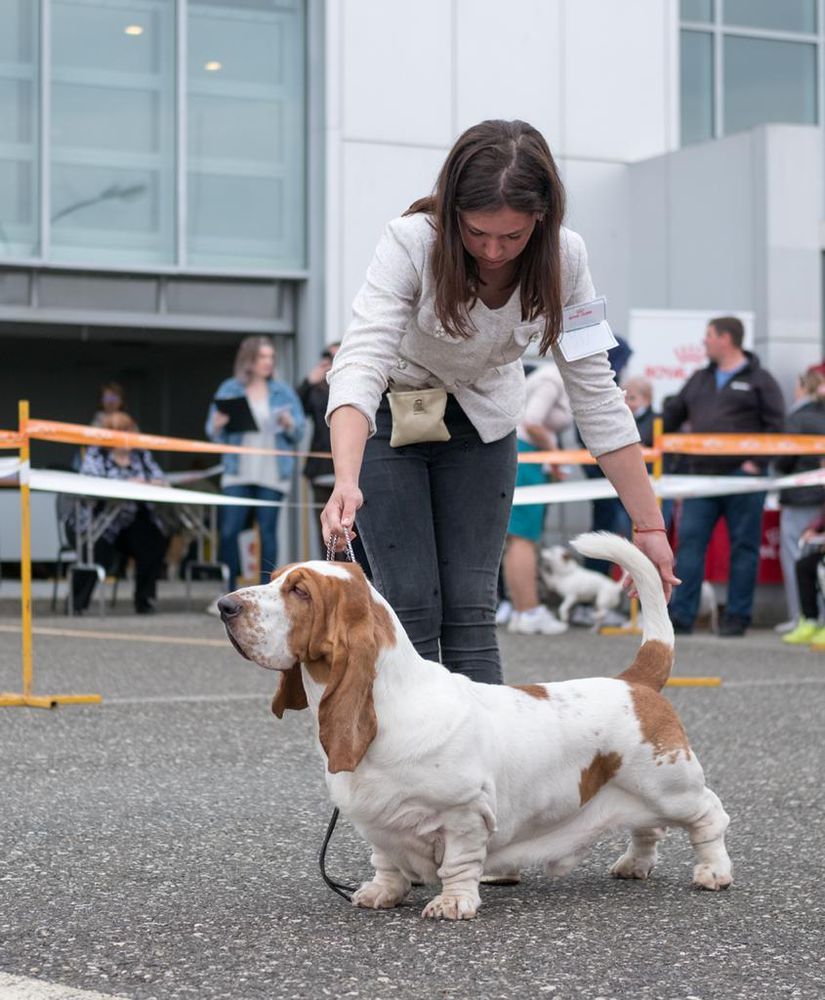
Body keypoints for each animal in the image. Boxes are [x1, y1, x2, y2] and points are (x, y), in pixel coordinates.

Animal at [220, 536, 732, 916]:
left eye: (300, 592)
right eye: (274, 579)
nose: (225, 605)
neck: (393, 705)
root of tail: (634, 680)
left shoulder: (464, 814)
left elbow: (459, 864)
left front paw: (453, 904)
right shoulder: (377, 821)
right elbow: (385, 861)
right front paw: (381, 893)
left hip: (671, 785)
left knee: (709, 817)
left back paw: (713, 872)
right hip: (640, 793)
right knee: (647, 829)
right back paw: (633, 865)